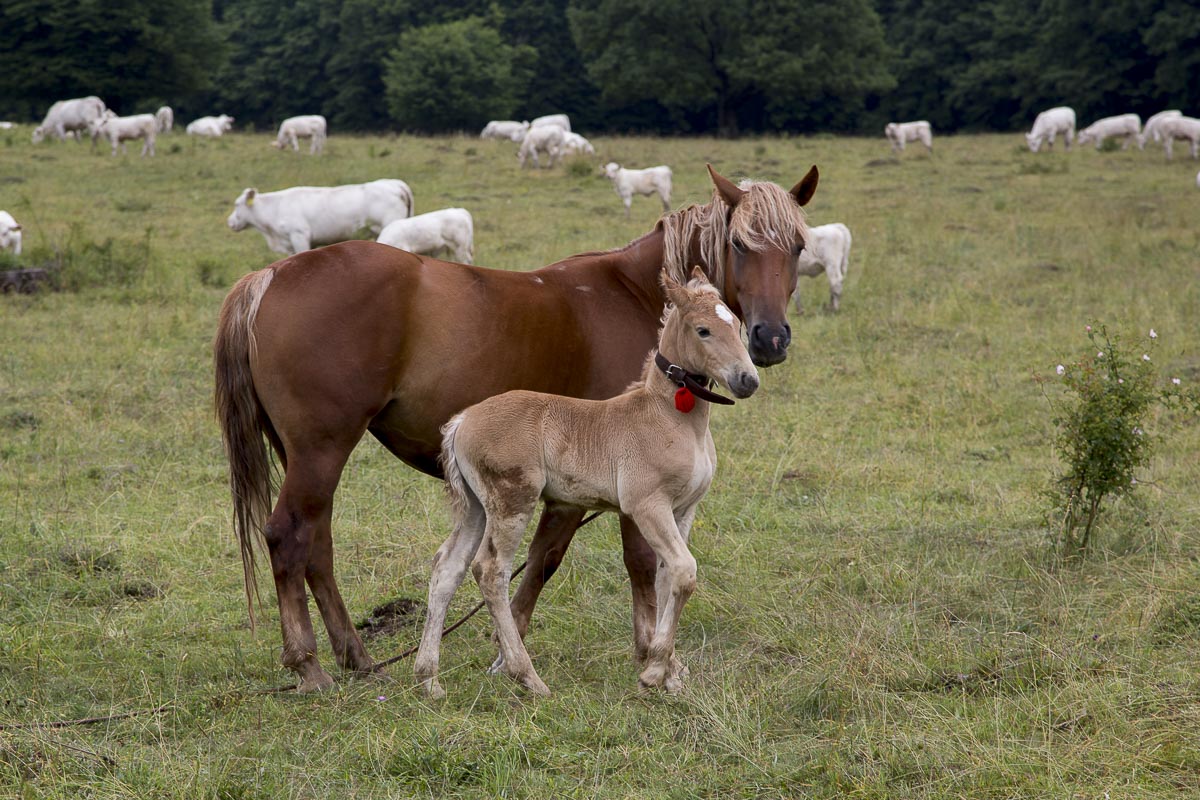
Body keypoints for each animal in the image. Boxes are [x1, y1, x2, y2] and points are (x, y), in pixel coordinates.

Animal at [416, 268, 759, 699]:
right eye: (703, 330)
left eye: (738, 325)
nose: (748, 380)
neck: (671, 417)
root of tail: (462, 420)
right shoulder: (647, 505)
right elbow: (684, 570)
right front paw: (654, 671)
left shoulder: (684, 509)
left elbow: (668, 578)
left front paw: (671, 675)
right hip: (512, 500)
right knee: (491, 570)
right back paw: (526, 676)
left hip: (477, 507)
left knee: (448, 567)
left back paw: (428, 678)